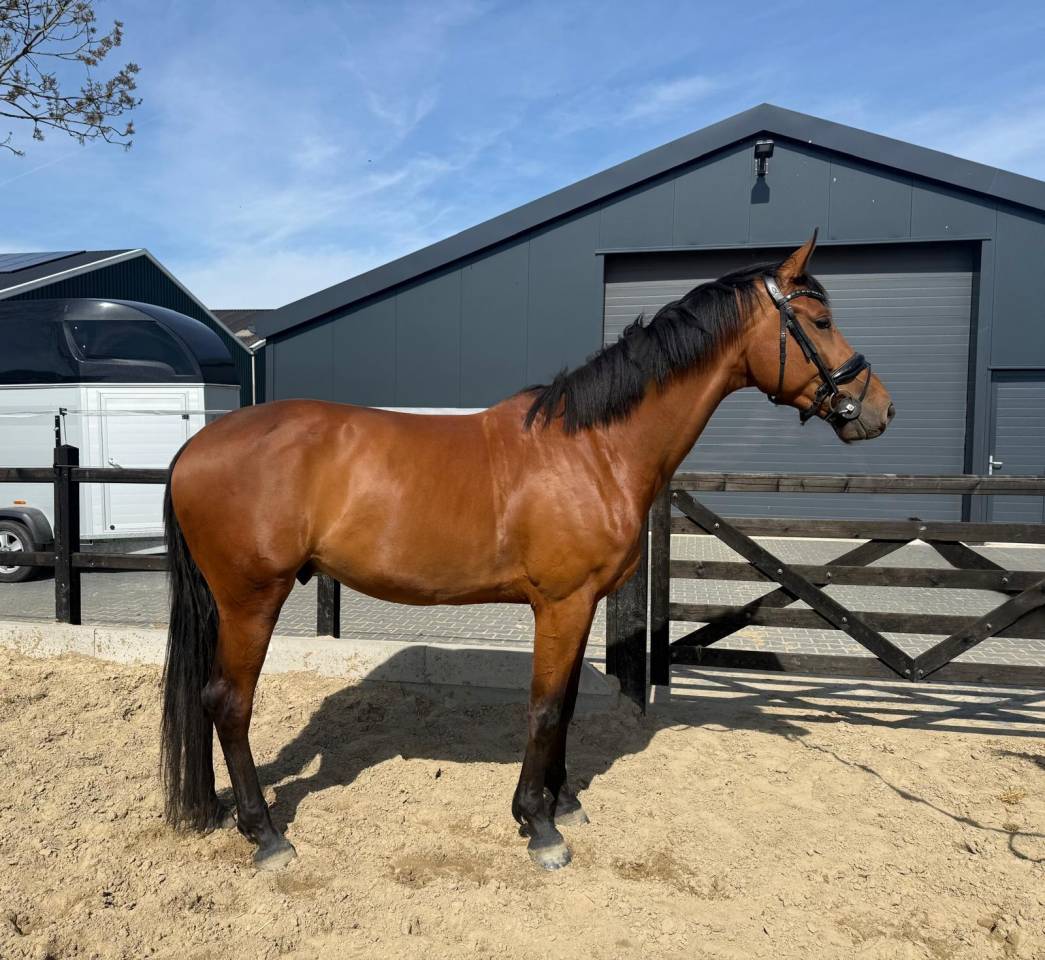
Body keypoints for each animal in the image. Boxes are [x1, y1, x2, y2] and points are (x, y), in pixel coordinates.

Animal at [160, 231, 894, 871]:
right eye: (821, 320)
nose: (879, 409)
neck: (593, 449)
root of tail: (195, 447)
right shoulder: (560, 604)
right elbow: (542, 708)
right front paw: (537, 825)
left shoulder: (582, 604)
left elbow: (564, 705)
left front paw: (563, 803)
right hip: (251, 598)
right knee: (229, 702)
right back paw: (266, 835)